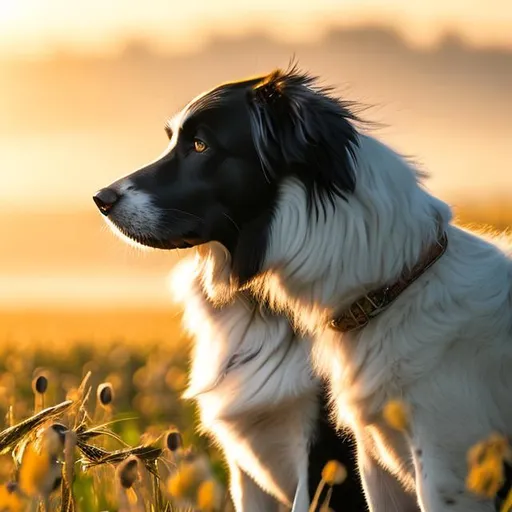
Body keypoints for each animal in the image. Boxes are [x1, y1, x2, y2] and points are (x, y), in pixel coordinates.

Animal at [93, 65, 512, 512]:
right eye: (173, 139)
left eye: (201, 145)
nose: (100, 199)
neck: (392, 286)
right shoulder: (356, 466)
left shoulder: (431, 467)